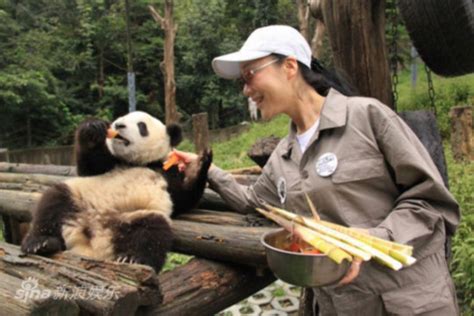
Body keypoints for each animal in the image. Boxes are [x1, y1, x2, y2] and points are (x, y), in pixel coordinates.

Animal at [22, 111, 211, 272]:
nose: (119, 125)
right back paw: (40, 242)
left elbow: (183, 200)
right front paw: (93, 128)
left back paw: (132, 258)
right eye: (120, 117)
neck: (138, 163)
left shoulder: (166, 173)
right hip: (78, 196)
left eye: (142, 126)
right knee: (54, 201)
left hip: (136, 215)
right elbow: (89, 168)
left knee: (153, 230)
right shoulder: (110, 164)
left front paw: (199, 163)